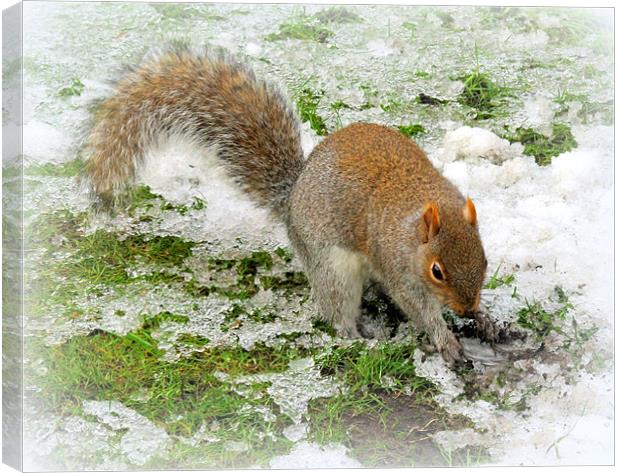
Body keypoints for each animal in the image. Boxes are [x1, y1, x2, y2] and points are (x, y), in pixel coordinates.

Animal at [83, 46, 498, 366]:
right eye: (437, 271)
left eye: (484, 259)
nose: (465, 308)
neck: (422, 206)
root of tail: (293, 196)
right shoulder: (397, 266)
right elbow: (419, 308)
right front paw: (446, 341)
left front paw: (485, 318)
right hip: (331, 266)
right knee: (336, 305)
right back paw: (356, 338)